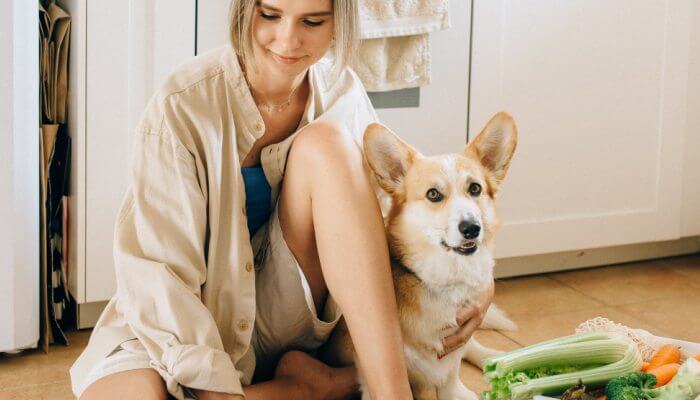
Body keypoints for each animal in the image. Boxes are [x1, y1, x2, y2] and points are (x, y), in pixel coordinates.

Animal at [326, 111, 516, 398]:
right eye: (433, 194)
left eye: (475, 189)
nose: (472, 228)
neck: (446, 280)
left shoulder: (455, 351)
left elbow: (453, 375)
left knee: (473, 346)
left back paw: (496, 361)